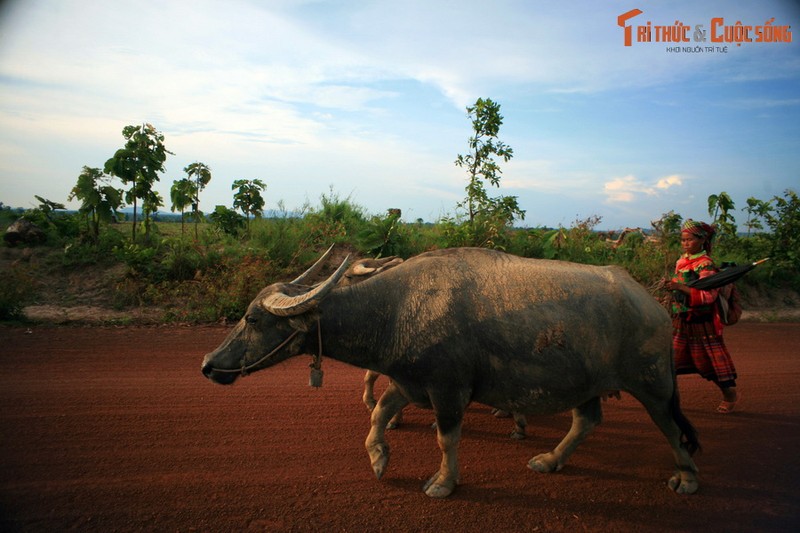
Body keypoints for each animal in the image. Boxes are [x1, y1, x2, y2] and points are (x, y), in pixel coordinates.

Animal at [202, 247, 700, 496]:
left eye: (252, 319)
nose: (208, 365)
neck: (394, 309)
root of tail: (654, 304)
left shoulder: (447, 389)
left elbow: (446, 439)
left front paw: (442, 482)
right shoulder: (409, 381)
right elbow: (378, 412)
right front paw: (378, 457)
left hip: (654, 384)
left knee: (672, 427)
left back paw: (687, 478)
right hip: (584, 384)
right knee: (587, 420)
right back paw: (550, 460)